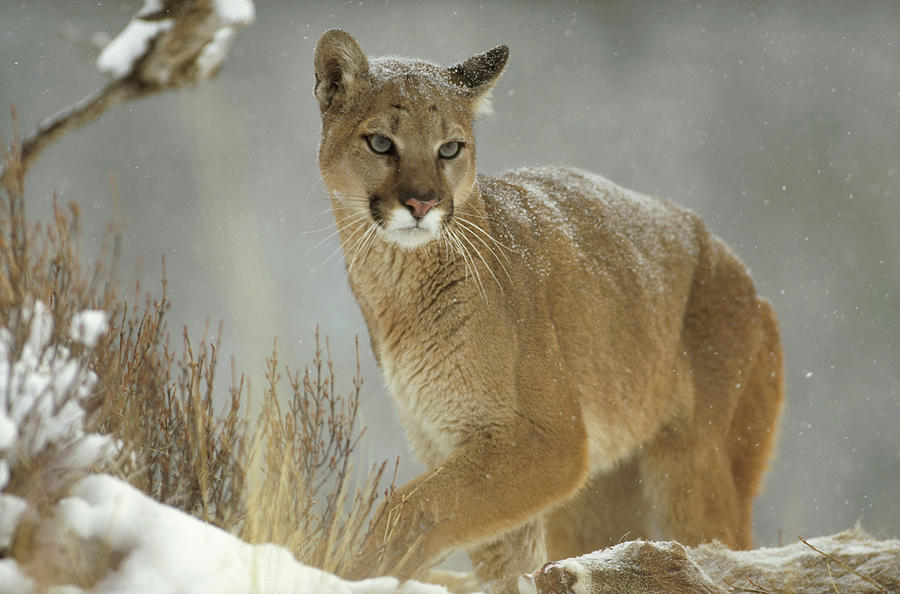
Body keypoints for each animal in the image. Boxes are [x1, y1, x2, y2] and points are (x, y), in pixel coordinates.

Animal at [312, 28, 784, 592]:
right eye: (381, 142)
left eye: (450, 148)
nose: (423, 203)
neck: (399, 287)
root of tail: (744, 276)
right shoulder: (450, 438)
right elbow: (493, 550)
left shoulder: (551, 441)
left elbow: (415, 502)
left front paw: (360, 564)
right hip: (600, 497)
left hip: (695, 464)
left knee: (722, 547)